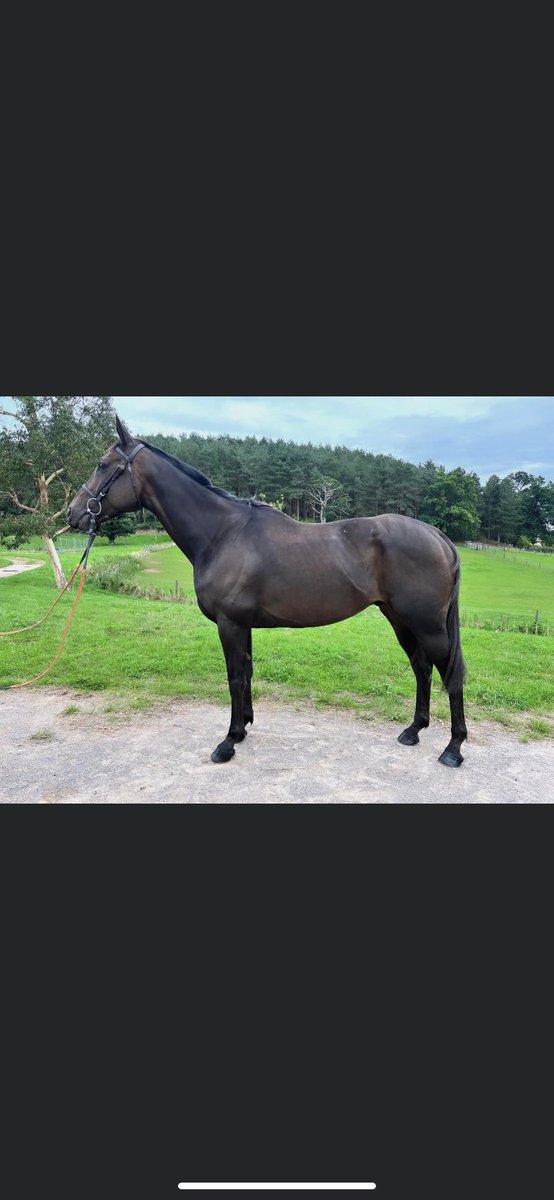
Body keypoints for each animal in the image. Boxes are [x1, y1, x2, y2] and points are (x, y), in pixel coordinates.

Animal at [66, 416, 467, 768]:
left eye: (103, 465)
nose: (73, 514)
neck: (222, 533)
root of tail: (439, 537)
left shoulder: (229, 623)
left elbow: (234, 676)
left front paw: (227, 743)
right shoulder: (242, 625)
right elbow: (246, 671)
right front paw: (243, 729)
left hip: (427, 626)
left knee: (451, 674)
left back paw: (453, 749)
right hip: (400, 619)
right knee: (421, 668)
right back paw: (413, 731)